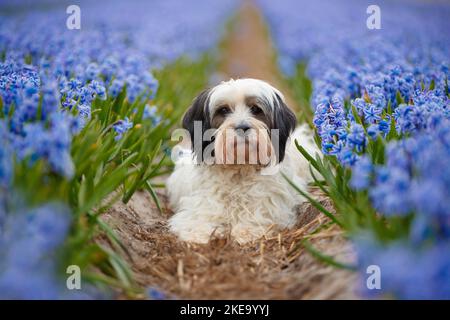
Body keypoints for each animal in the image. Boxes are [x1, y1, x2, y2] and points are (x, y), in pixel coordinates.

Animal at [166, 79, 320, 244]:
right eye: (223, 110)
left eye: (256, 109)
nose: (242, 127)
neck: (240, 167)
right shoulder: (200, 203)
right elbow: (199, 217)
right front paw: (199, 233)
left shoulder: (271, 204)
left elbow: (258, 213)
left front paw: (248, 230)